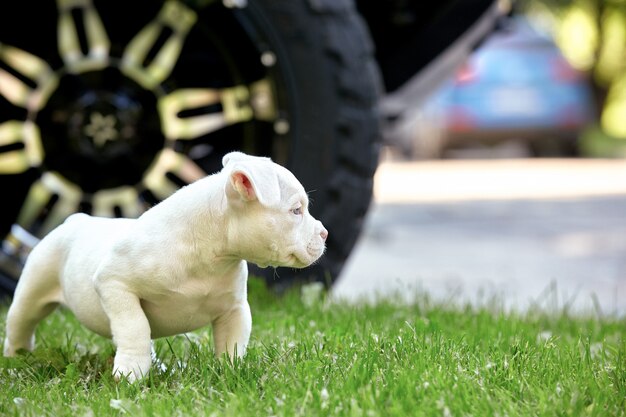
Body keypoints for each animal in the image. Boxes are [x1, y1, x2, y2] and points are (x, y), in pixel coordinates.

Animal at [2, 152, 326, 380]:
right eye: (296, 211)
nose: (324, 233)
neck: (211, 251)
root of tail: (76, 219)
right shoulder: (114, 284)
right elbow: (135, 326)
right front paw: (131, 372)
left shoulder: (234, 309)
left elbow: (233, 342)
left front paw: (231, 373)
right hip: (34, 287)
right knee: (21, 321)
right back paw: (18, 356)